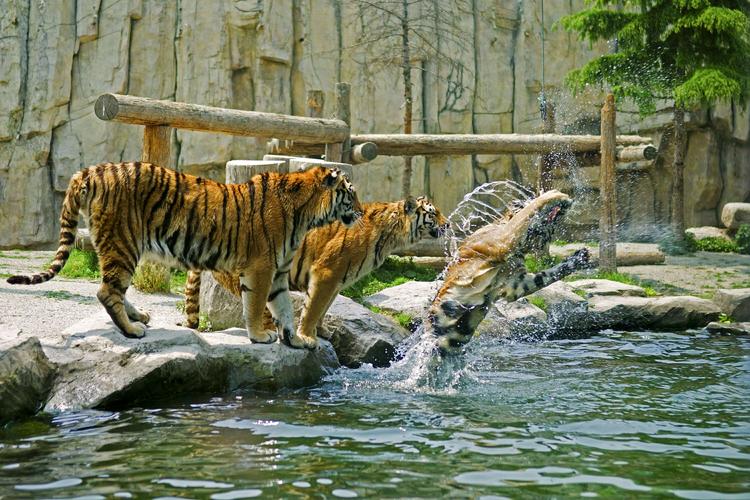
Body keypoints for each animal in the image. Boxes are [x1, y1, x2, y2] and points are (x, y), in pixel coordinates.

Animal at [7, 162, 363, 345]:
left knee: (113, 287)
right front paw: (261, 335)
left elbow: (285, 307)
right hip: (124, 242)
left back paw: (139, 317)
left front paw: (295, 339)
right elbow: (255, 304)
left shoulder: (278, 271)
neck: (307, 214)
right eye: (351, 194)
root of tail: (91, 170)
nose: (360, 211)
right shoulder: (261, 268)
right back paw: (132, 330)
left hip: (119, 245)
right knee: (107, 291)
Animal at [184, 196, 448, 349]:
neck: (392, 234)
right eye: (433, 213)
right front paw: (308, 336)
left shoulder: (338, 279)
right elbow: (313, 308)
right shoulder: (327, 271)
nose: (447, 224)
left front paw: (322, 332)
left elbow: (324, 307)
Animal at [427, 189, 593, 356]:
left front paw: (580, 258)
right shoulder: (503, 240)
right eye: (547, 230)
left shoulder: (516, 282)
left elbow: (546, 276)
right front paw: (555, 195)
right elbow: (529, 210)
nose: (542, 244)